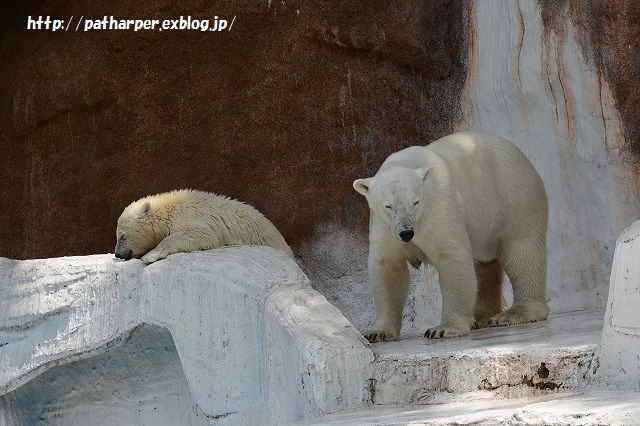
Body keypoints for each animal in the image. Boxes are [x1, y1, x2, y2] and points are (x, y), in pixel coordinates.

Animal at [352, 131, 548, 342]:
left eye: (415, 202)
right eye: (388, 205)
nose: (406, 233)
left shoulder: (439, 207)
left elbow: (452, 256)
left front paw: (443, 329)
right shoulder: (384, 225)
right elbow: (387, 266)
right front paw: (376, 332)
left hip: (514, 196)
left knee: (522, 252)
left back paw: (514, 313)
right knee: (484, 264)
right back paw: (480, 316)